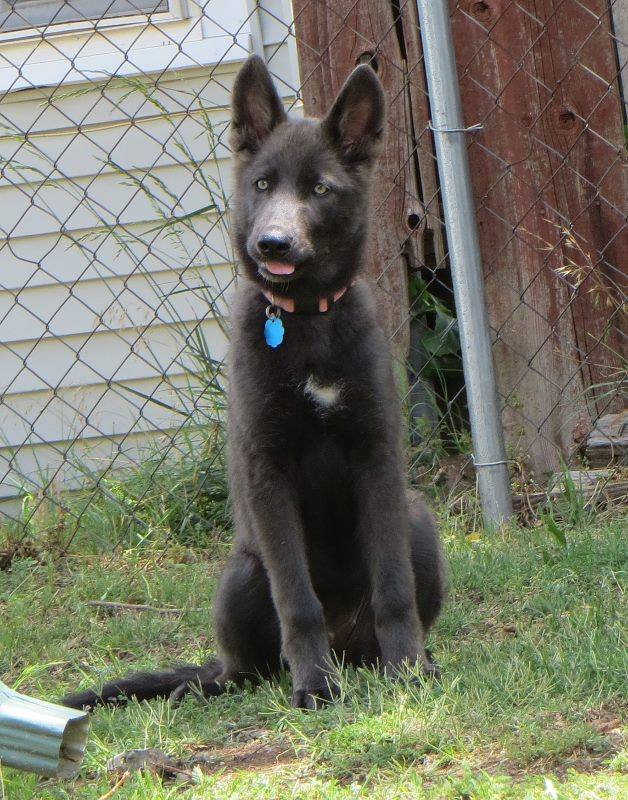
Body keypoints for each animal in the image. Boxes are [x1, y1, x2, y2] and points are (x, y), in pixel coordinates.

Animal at [63, 56, 444, 708]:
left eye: (320, 189)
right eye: (263, 184)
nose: (272, 244)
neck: (306, 320)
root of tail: (348, 643)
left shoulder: (376, 456)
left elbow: (394, 588)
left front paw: (409, 672)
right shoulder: (268, 472)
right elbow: (296, 600)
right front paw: (314, 685)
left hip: (418, 522)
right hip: (242, 572)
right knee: (244, 668)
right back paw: (239, 681)